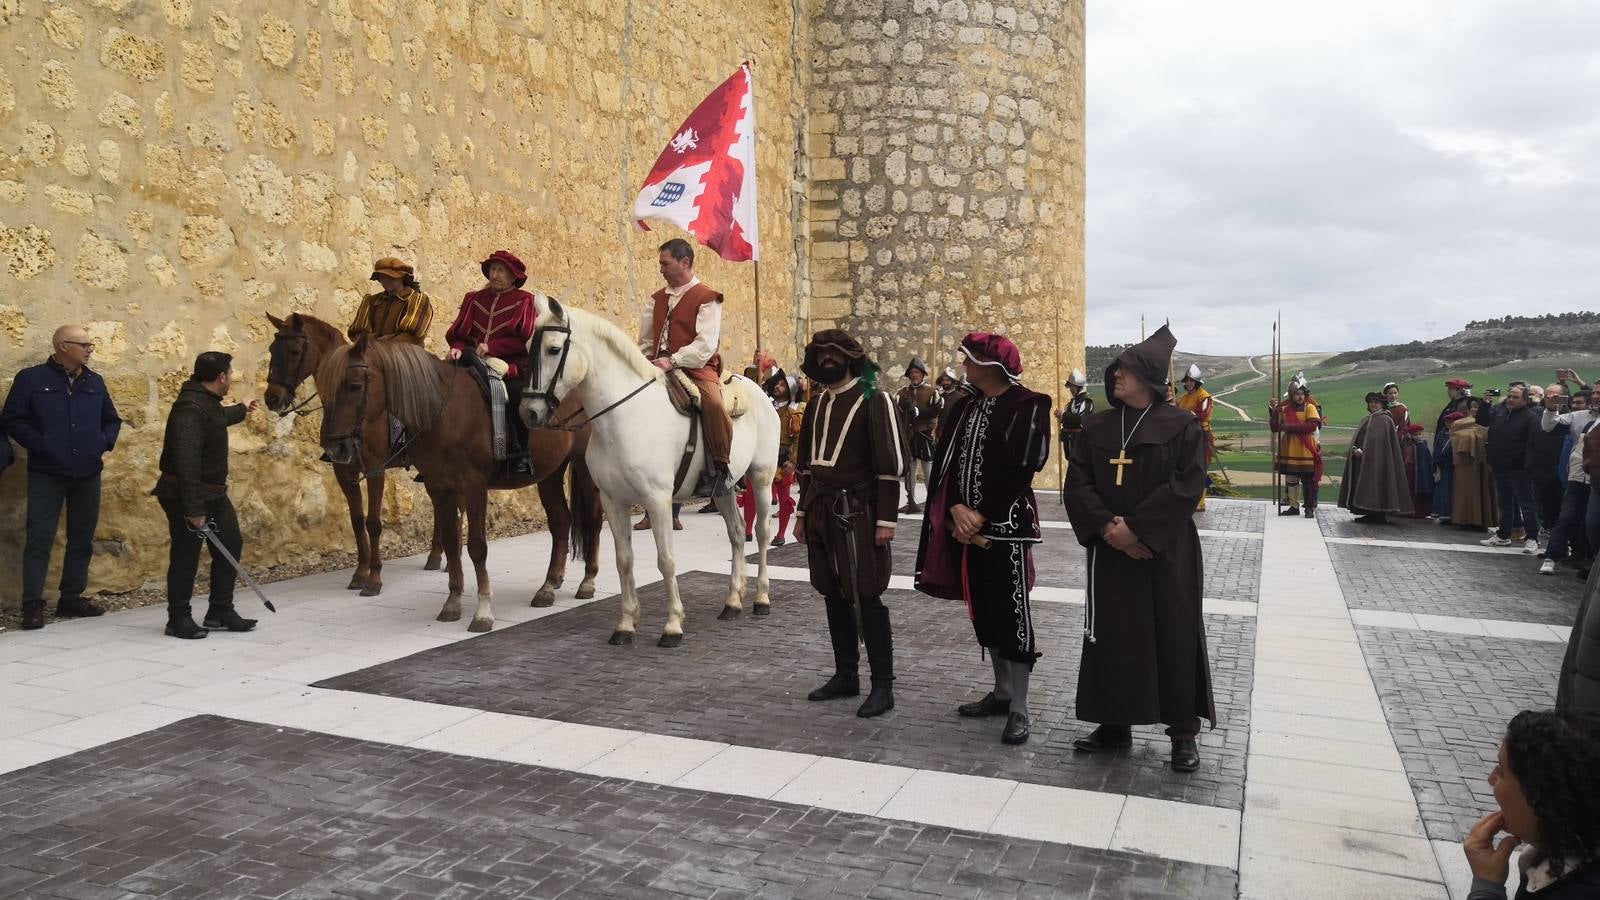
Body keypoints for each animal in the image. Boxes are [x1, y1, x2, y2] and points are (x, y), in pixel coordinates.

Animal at [264, 310, 601, 614]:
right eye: (271, 351)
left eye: (356, 385)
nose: (272, 398)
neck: (441, 409)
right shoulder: (355, 472)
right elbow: (362, 521)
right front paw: (366, 575)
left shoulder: (389, 472)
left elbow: (382, 524)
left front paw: (374, 579)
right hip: (549, 473)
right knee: (560, 521)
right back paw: (548, 584)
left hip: (585, 468)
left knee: (593, 520)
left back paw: (587, 581)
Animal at [518, 296, 780, 643]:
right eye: (528, 348)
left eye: (553, 349)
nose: (529, 413)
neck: (623, 417)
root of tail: (759, 390)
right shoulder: (613, 502)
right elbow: (624, 560)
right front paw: (626, 624)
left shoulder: (658, 500)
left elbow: (666, 561)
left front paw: (673, 626)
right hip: (723, 489)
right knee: (737, 534)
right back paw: (732, 602)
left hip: (761, 478)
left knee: (761, 533)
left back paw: (762, 598)